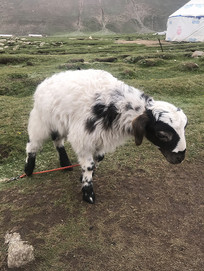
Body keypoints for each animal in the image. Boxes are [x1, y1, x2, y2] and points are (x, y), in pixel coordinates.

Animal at [24, 69, 188, 204]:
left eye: (184, 128)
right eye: (162, 134)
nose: (180, 158)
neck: (116, 106)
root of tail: (46, 81)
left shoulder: (101, 136)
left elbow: (99, 158)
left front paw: (84, 177)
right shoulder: (83, 137)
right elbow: (89, 165)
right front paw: (88, 193)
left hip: (60, 123)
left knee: (58, 141)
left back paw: (65, 164)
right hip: (42, 122)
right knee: (32, 144)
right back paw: (28, 169)